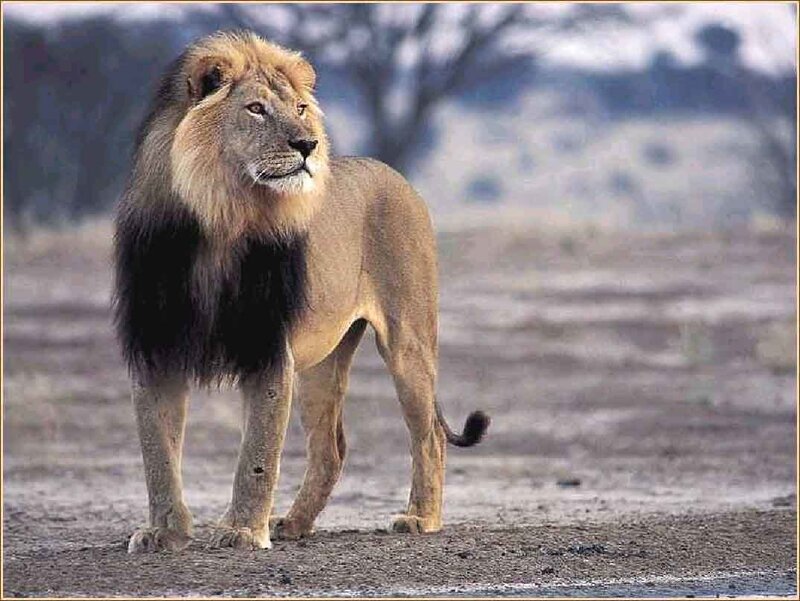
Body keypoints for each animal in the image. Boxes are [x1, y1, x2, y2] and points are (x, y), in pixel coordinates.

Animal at [113, 30, 490, 553]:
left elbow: (257, 454)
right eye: (255, 109)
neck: (218, 218)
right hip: (320, 363)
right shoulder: (155, 348)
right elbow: (157, 454)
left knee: (428, 434)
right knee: (330, 448)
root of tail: (393, 173)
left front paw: (240, 531)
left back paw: (420, 519)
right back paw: (293, 524)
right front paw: (163, 532)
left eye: (300, 108)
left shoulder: (269, 348)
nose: (308, 144)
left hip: (407, 341)